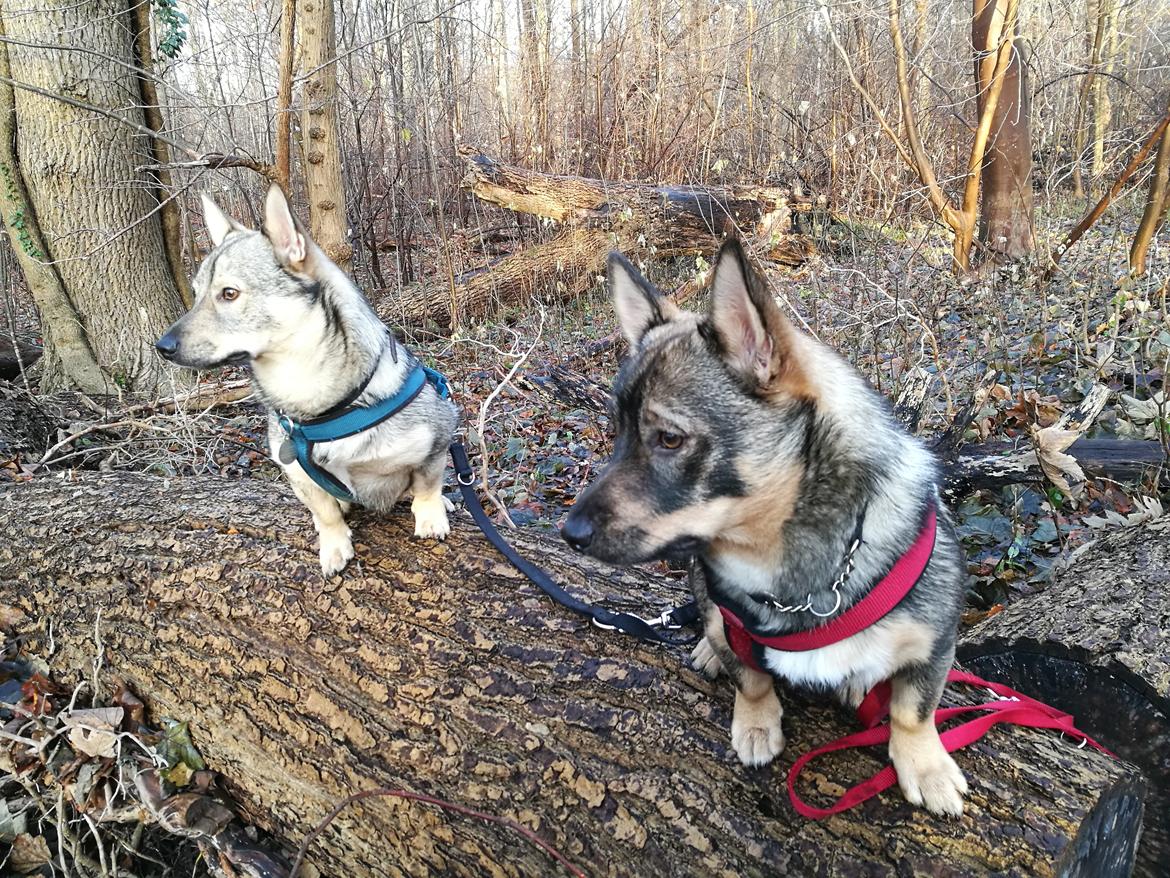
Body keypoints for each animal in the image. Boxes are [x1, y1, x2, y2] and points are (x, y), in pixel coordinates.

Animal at [150, 186, 451, 578]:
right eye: (197, 292)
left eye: (229, 293)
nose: (162, 347)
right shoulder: (297, 473)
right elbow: (324, 511)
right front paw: (334, 544)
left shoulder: (438, 437)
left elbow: (428, 482)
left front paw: (431, 514)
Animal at [559, 241, 968, 819]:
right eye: (616, 434)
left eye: (668, 439)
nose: (568, 532)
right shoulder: (730, 623)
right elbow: (749, 677)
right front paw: (755, 721)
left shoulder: (934, 643)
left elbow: (914, 710)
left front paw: (925, 765)